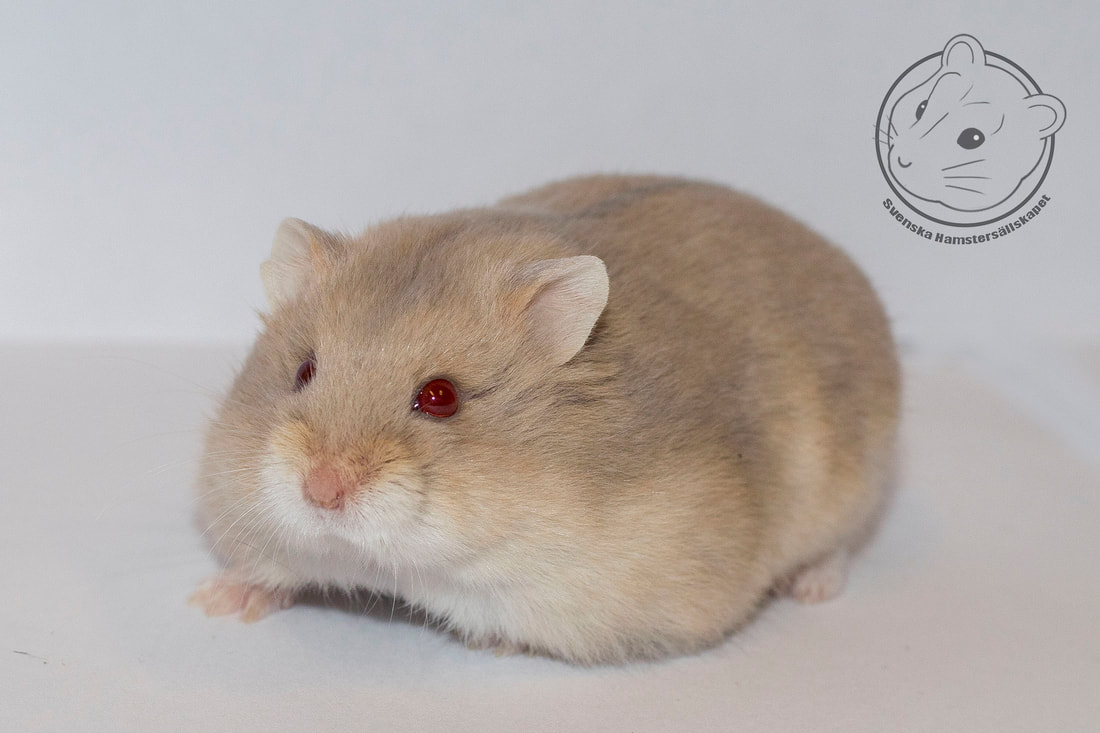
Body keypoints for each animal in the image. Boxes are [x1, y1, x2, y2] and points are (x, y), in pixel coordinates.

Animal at [190, 175, 900, 665]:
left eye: (440, 397)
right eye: (304, 370)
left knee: (839, 548)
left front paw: (497, 644)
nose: (321, 490)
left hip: (854, 487)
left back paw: (809, 586)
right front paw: (216, 602)